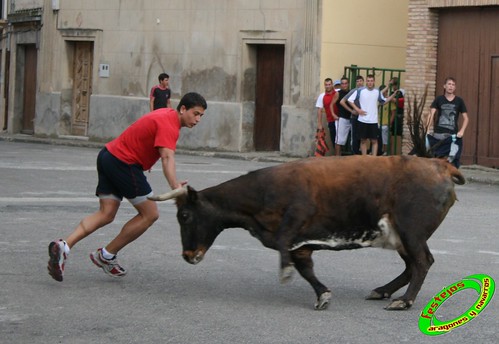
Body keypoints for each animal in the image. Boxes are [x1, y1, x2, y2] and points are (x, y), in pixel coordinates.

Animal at [150, 157, 466, 312]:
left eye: (184, 215)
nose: (188, 255)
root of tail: (440, 165)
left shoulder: (293, 225)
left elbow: (288, 253)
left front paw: (288, 275)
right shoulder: (299, 244)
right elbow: (306, 268)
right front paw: (322, 294)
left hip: (411, 231)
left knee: (422, 262)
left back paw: (404, 301)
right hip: (402, 236)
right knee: (411, 265)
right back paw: (383, 291)